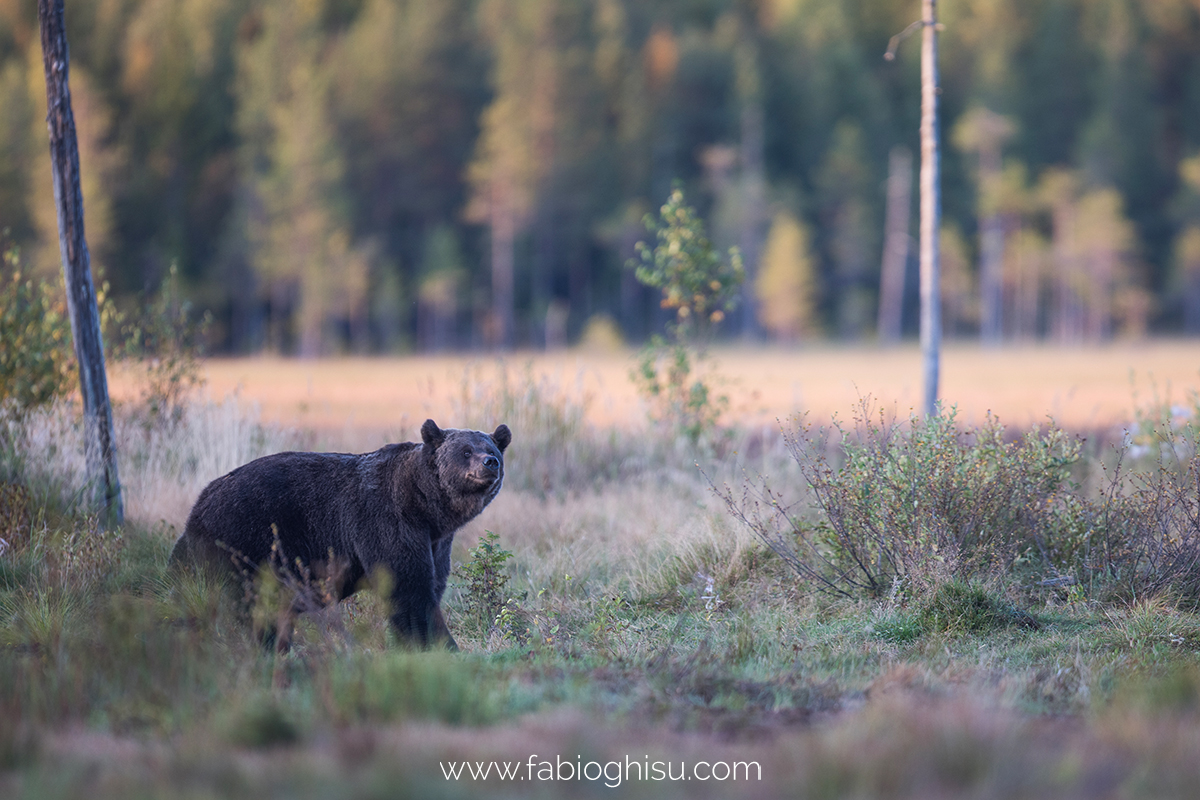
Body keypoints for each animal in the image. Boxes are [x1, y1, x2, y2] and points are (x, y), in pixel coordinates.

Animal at [171, 419, 508, 652]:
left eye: (491, 449)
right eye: (466, 451)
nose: (490, 463)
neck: (424, 505)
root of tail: (197, 507)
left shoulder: (436, 540)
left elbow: (432, 584)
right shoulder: (387, 521)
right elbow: (407, 587)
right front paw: (437, 645)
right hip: (246, 537)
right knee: (247, 602)